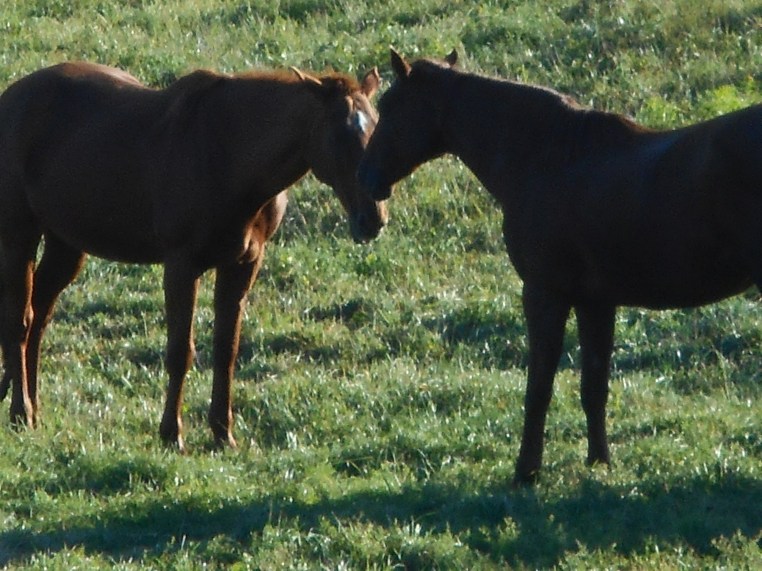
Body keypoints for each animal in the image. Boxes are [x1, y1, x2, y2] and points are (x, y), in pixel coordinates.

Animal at [0, 60, 387, 451]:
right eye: (340, 136)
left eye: (376, 127)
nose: (372, 219)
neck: (228, 158)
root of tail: (12, 97)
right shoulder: (182, 266)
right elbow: (179, 352)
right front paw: (172, 433)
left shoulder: (242, 264)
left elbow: (226, 349)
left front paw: (223, 433)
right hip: (19, 235)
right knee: (20, 320)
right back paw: (21, 412)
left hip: (66, 243)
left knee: (39, 315)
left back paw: (33, 408)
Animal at [358, 49, 762, 485]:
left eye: (388, 106)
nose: (366, 179)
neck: (548, 157)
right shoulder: (595, 302)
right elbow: (594, 386)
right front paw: (599, 462)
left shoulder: (544, 294)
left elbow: (539, 389)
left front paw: (526, 471)